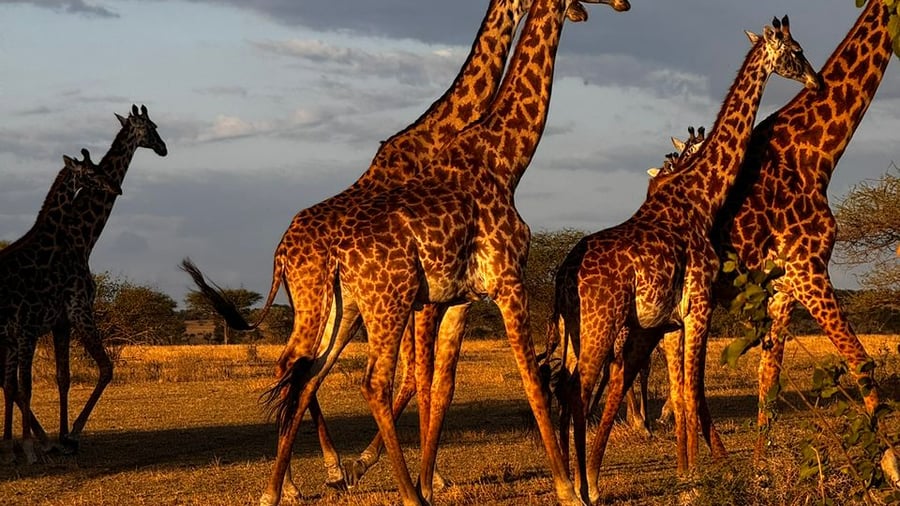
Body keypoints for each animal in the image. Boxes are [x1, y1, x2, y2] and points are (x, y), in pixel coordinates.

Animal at [1, 150, 121, 464]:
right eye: (90, 172)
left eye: (98, 167)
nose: (116, 187)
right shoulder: (32, 329)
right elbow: (25, 386)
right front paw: (30, 449)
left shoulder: (29, 332)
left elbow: (22, 384)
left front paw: (17, 447)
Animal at [43, 104, 167, 454]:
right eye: (152, 127)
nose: (164, 148)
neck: (81, 238)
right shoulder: (78, 310)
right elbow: (105, 368)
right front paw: (73, 433)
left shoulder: (62, 319)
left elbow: (64, 376)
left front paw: (62, 437)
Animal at [186, 1, 631, 504]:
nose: (620, 4)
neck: (502, 159)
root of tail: (280, 253)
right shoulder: (501, 282)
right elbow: (521, 379)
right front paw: (565, 490)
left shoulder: (454, 297)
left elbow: (439, 384)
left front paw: (428, 477)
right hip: (368, 303)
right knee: (351, 378)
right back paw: (346, 481)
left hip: (343, 310)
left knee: (305, 372)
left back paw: (287, 486)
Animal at [546, 17, 819, 503]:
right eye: (796, 51)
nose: (815, 79)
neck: (701, 198)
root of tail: (561, 277)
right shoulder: (698, 308)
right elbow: (691, 391)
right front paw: (699, 479)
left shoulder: (670, 321)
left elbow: (680, 392)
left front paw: (690, 473)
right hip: (600, 324)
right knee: (577, 390)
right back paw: (583, 487)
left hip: (577, 331)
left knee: (569, 387)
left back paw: (576, 484)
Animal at [713, 0, 894, 457]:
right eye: (797, 50)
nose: (816, 80)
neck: (816, 154)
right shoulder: (809, 270)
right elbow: (861, 362)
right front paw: (888, 461)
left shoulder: (783, 287)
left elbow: (769, 378)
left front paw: (760, 463)